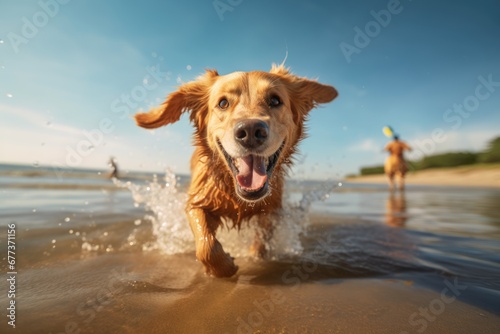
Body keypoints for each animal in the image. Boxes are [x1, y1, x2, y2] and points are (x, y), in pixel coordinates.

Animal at [135, 64, 338, 276]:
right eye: (223, 103)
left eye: (275, 100)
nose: (250, 131)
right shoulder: (198, 200)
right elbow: (206, 246)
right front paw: (225, 267)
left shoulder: (271, 210)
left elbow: (261, 242)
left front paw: (253, 258)